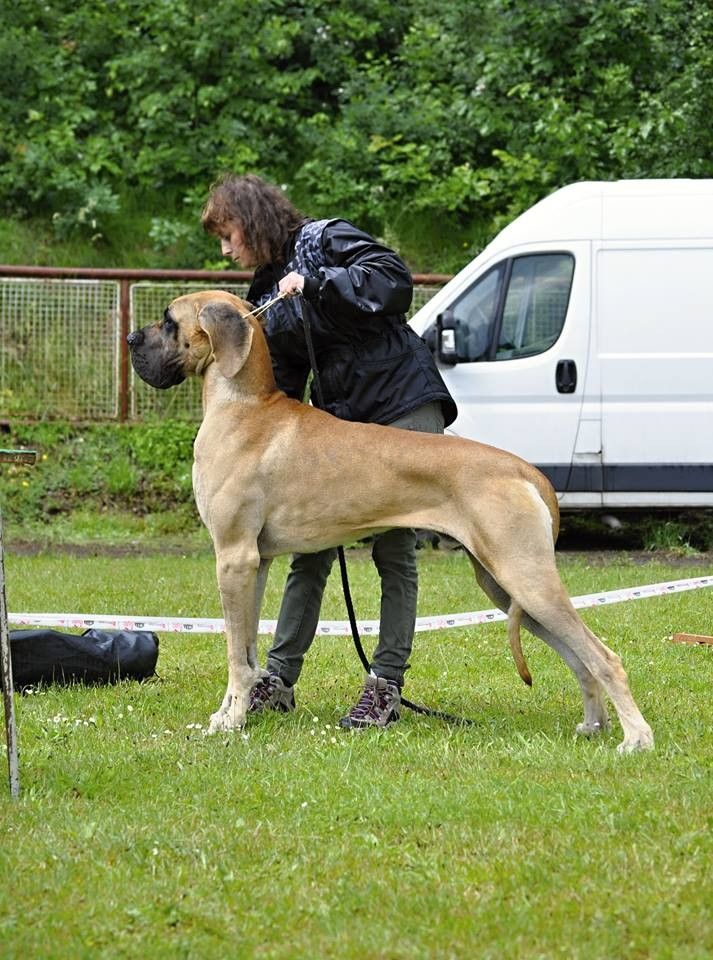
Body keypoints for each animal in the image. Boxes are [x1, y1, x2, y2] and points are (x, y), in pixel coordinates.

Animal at [127, 290, 654, 753]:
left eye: (169, 321)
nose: (131, 339)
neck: (242, 404)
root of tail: (526, 470)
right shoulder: (253, 565)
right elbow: (249, 650)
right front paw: (230, 711)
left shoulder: (234, 557)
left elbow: (236, 654)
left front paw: (231, 721)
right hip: (507, 588)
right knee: (580, 660)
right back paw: (593, 724)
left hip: (526, 576)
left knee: (605, 658)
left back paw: (637, 738)